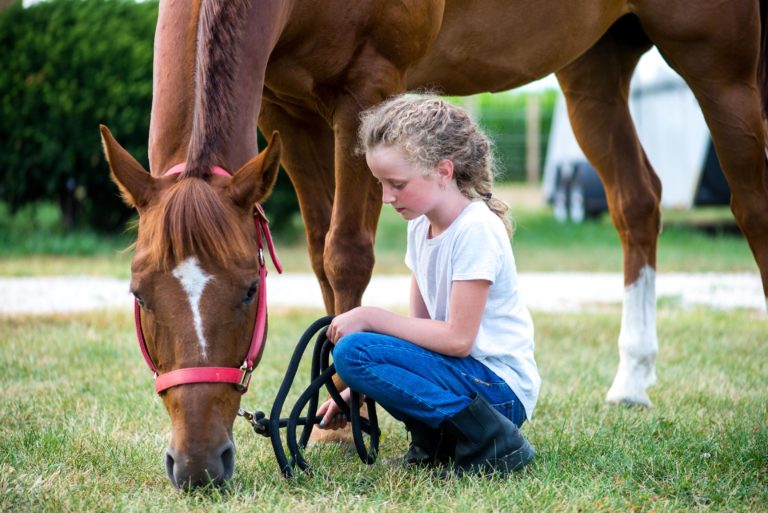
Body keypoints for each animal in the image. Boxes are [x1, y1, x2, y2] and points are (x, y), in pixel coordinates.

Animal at [100, 0, 768, 488]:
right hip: (593, 69)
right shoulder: (286, 111)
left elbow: (346, 253)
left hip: (719, 61)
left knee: (750, 202)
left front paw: (346, 412)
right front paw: (334, 421)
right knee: (637, 203)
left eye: (248, 290)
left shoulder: (366, 88)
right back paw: (631, 380)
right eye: (138, 294)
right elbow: (319, 250)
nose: (197, 465)